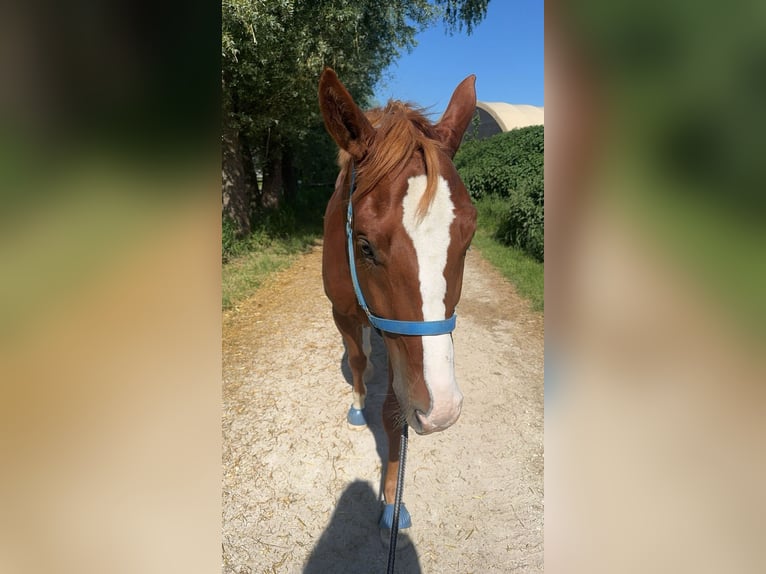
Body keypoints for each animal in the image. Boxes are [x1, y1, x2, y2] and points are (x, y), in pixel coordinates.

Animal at [318, 68, 477, 530]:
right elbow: (356, 360)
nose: (442, 409)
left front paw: (392, 495)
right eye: (365, 245)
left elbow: (394, 408)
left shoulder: (403, 349)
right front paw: (358, 403)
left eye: (469, 238)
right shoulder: (343, 312)